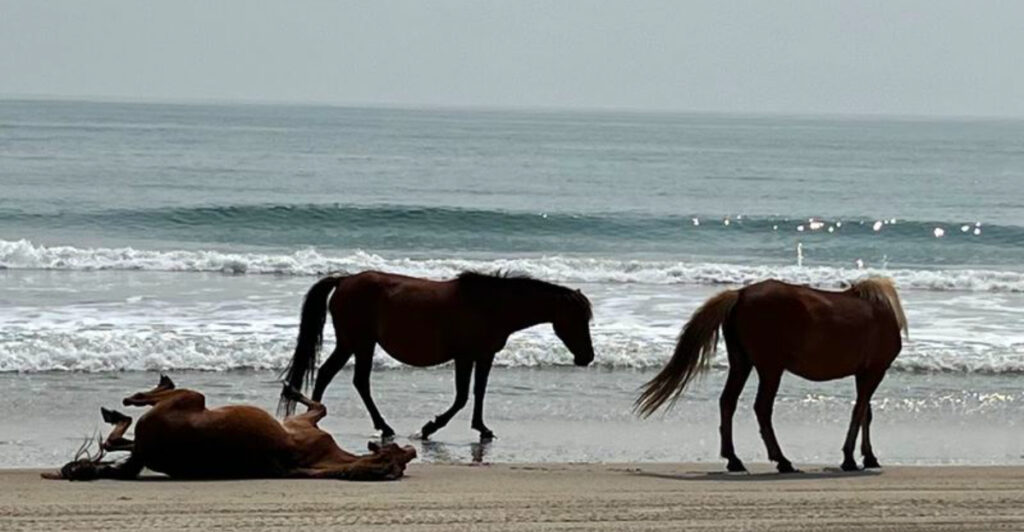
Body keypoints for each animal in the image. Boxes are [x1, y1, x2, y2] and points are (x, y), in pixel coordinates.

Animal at [44, 375, 417, 481]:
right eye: (400, 456)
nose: (412, 450)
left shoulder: (302, 424)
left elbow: (319, 406)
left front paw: (292, 390)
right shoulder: (303, 423)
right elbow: (319, 404)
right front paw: (293, 389)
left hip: (189, 399)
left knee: (125, 427)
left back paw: (130, 400)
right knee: (118, 441)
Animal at [279, 270, 595, 440]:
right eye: (577, 318)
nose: (587, 357)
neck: (491, 305)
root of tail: (344, 280)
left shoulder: (484, 356)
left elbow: (478, 392)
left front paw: (482, 428)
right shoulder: (465, 356)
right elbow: (462, 397)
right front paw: (429, 427)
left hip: (350, 344)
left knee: (327, 374)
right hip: (361, 343)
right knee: (357, 381)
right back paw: (379, 426)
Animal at [635, 278, 908, 473]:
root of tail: (740, 294)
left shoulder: (864, 373)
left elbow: (865, 414)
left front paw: (868, 457)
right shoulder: (874, 371)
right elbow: (859, 412)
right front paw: (850, 458)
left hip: (741, 364)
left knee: (728, 402)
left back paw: (734, 459)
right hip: (770, 369)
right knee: (762, 408)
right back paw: (782, 461)